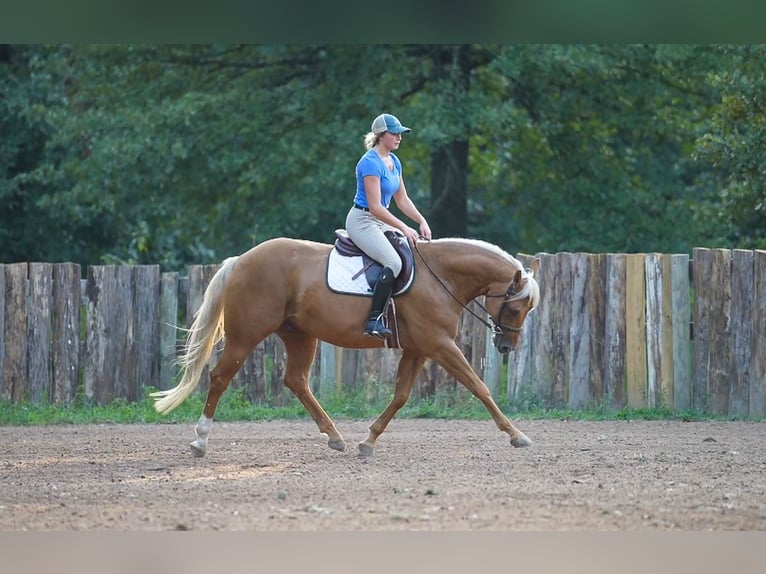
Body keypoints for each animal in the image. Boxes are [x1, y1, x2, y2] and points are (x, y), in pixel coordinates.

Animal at [151, 236, 540, 458]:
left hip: (299, 335)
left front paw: (368, 441)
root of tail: (242, 260)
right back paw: (200, 441)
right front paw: (517, 435)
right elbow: (479, 387)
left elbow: (400, 396)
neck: (440, 276)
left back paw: (335, 437)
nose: (507, 346)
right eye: (515, 308)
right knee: (219, 378)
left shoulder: (419, 348)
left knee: (296, 381)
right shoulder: (441, 345)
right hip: (246, 335)